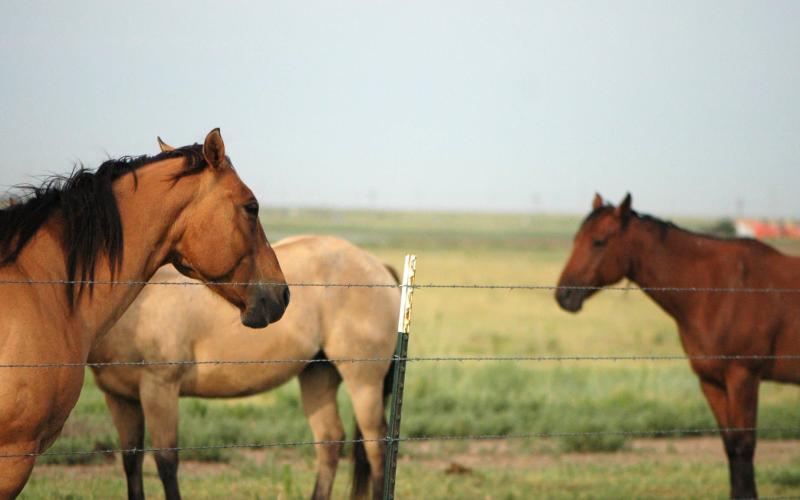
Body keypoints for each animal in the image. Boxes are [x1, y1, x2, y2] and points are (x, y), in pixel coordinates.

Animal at [89, 235, 399, 500]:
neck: (141, 303)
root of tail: (376, 265)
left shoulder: (159, 389)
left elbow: (166, 462)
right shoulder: (119, 398)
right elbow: (131, 461)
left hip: (363, 382)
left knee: (376, 445)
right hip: (318, 375)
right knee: (329, 440)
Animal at [556, 193, 800, 499]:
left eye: (599, 241)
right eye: (576, 239)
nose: (563, 295)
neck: (718, 290)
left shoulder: (743, 377)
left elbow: (744, 445)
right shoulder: (711, 381)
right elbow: (731, 446)